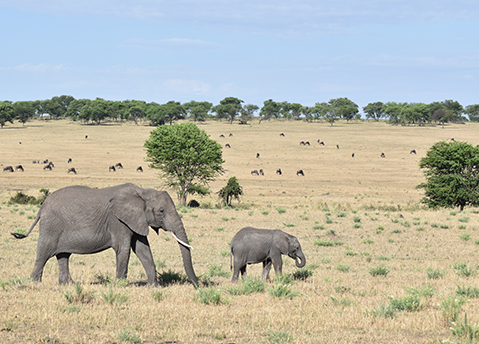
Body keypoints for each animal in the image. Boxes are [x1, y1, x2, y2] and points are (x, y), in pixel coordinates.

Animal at [11, 183, 199, 288]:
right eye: (161, 211)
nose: (198, 286)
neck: (143, 192)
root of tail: (42, 207)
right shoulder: (118, 220)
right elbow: (124, 249)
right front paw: (120, 286)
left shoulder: (136, 220)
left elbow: (143, 250)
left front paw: (154, 287)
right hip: (51, 226)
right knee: (43, 253)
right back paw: (34, 283)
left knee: (63, 255)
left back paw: (68, 285)